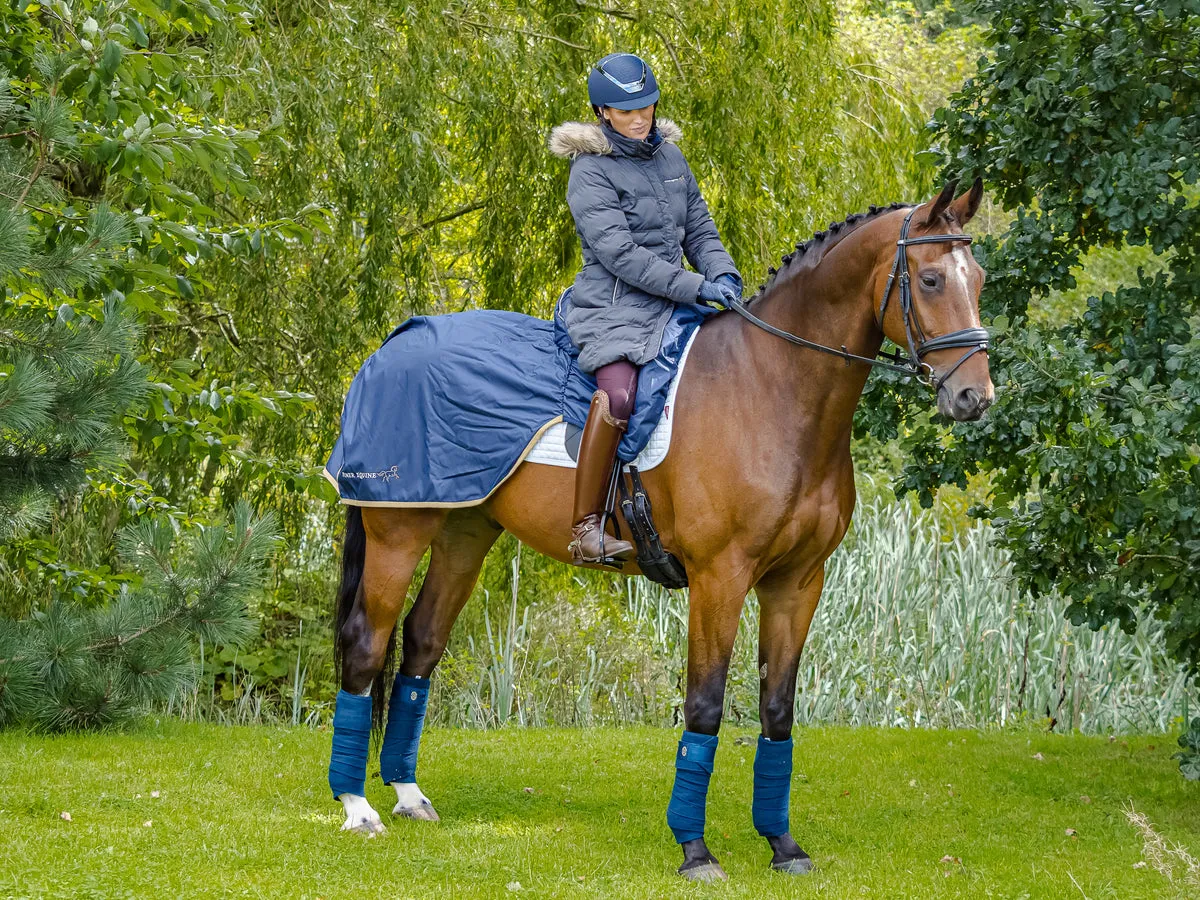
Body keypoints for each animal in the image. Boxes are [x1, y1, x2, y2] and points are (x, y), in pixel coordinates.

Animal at [326, 181, 993, 883]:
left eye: (977, 278)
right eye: (929, 278)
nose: (975, 397)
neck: (771, 389)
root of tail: (392, 346)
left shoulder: (797, 583)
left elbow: (778, 710)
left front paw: (783, 845)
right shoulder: (719, 578)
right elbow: (704, 704)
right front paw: (695, 850)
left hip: (464, 531)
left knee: (422, 643)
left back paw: (407, 795)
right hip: (399, 530)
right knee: (366, 644)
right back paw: (357, 806)